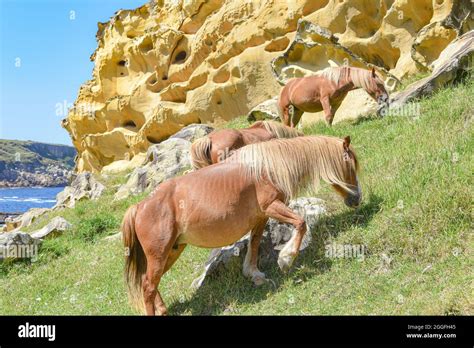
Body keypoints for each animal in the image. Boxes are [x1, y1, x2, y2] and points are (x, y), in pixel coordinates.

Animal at [123, 135, 362, 314]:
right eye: (350, 164)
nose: (357, 199)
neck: (267, 167)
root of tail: (139, 207)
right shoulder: (272, 207)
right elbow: (301, 223)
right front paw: (286, 259)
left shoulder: (261, 218)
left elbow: (254, 243)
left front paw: (253, 273)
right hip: (160, 253)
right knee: (148, 286)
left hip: (171, 251)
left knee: (149, 282)